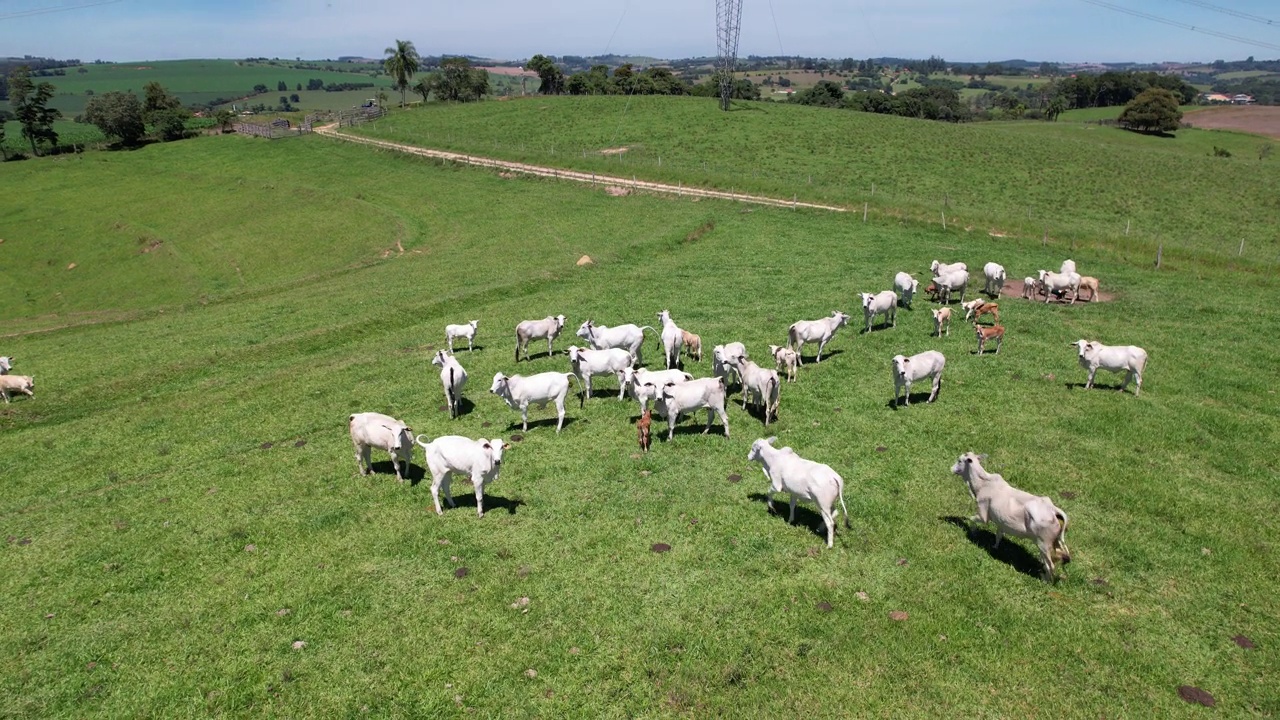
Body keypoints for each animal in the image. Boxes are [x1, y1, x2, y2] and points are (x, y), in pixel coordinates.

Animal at [952, 450, 1070, 579]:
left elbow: (972, 519)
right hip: (1054, 542)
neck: (983, 483)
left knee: (1051, 565)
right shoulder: (1001, 522)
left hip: (1043, 544)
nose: (951, 469)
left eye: (959, 460)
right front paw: (995, 547)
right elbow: (998, 535)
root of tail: (1053, 509)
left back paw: (1045, 579)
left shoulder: (983, 514)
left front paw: (973, 533)